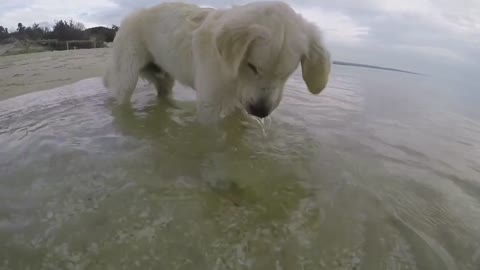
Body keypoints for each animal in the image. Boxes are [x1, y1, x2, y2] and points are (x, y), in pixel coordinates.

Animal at [102, 0, 330, 123]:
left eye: (285, 75)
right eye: (252, 66)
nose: (260, 112)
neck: (233, 73)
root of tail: (127, 18)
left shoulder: (239, 103)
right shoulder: (209, 104)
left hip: (165, 78)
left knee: (163, 95)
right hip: (126, 77)